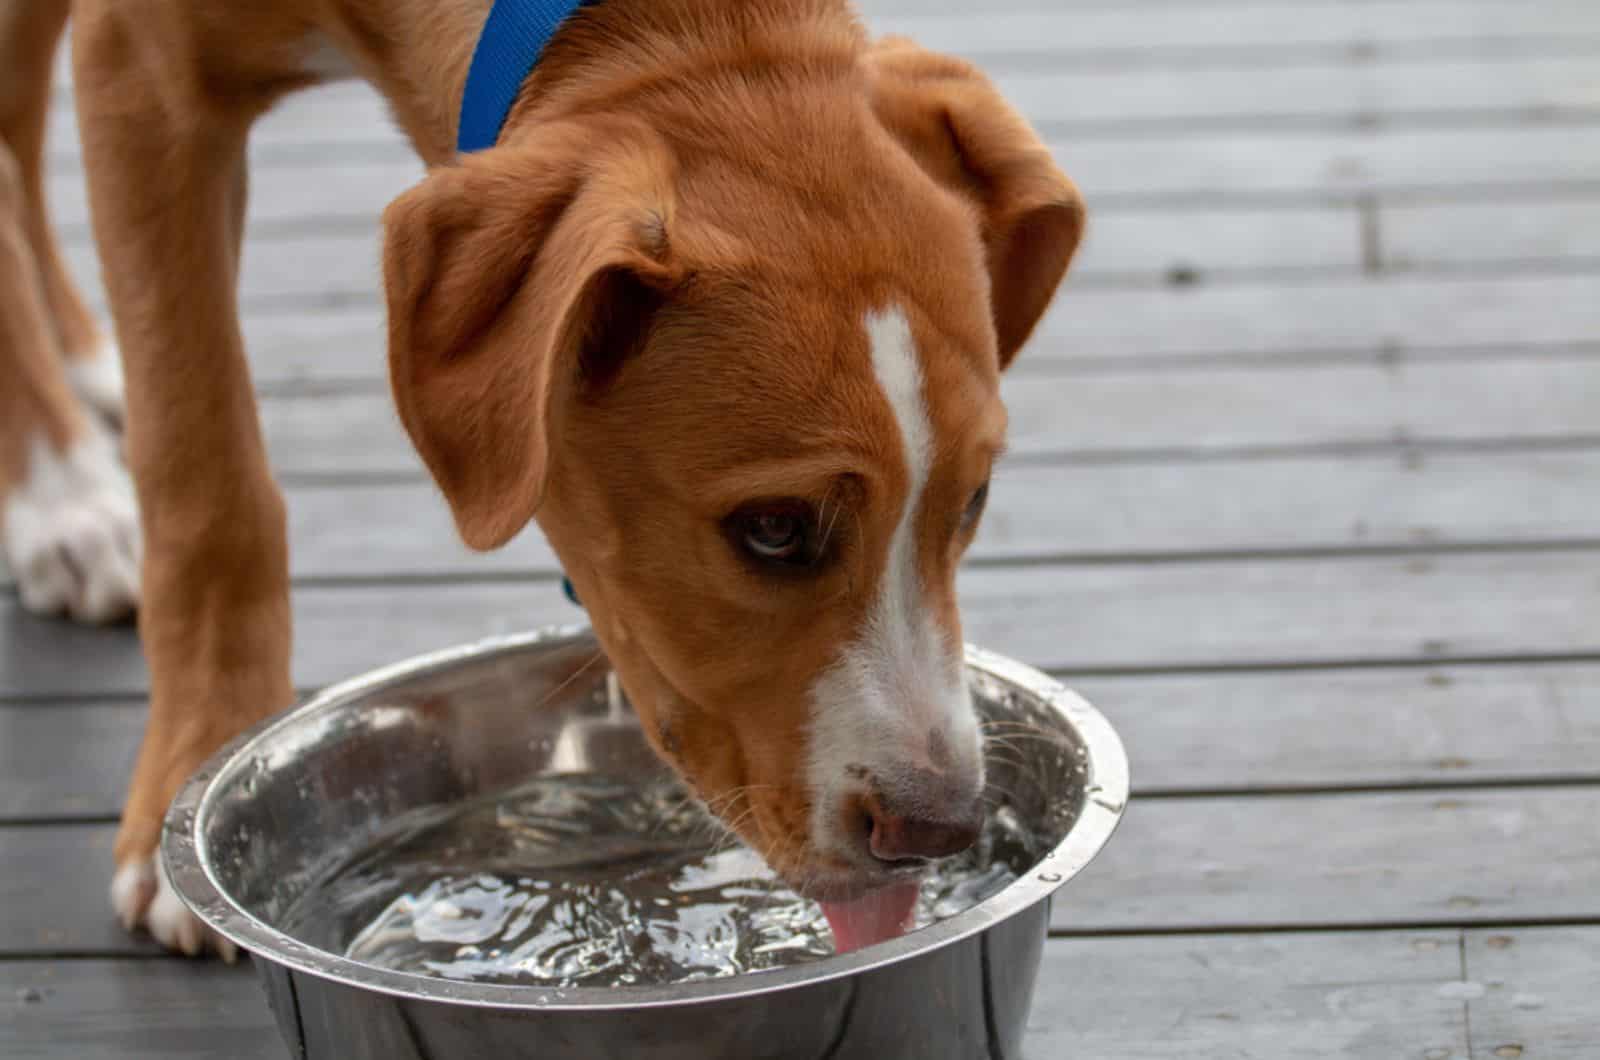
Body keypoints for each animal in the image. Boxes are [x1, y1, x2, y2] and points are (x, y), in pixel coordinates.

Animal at [0, 0, 1081, 960]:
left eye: (973, 501)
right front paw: (201, 751)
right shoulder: (142, 65)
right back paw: (61, 495)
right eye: (773, 526)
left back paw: (87, 361)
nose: (937, 830)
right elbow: (204, 464)